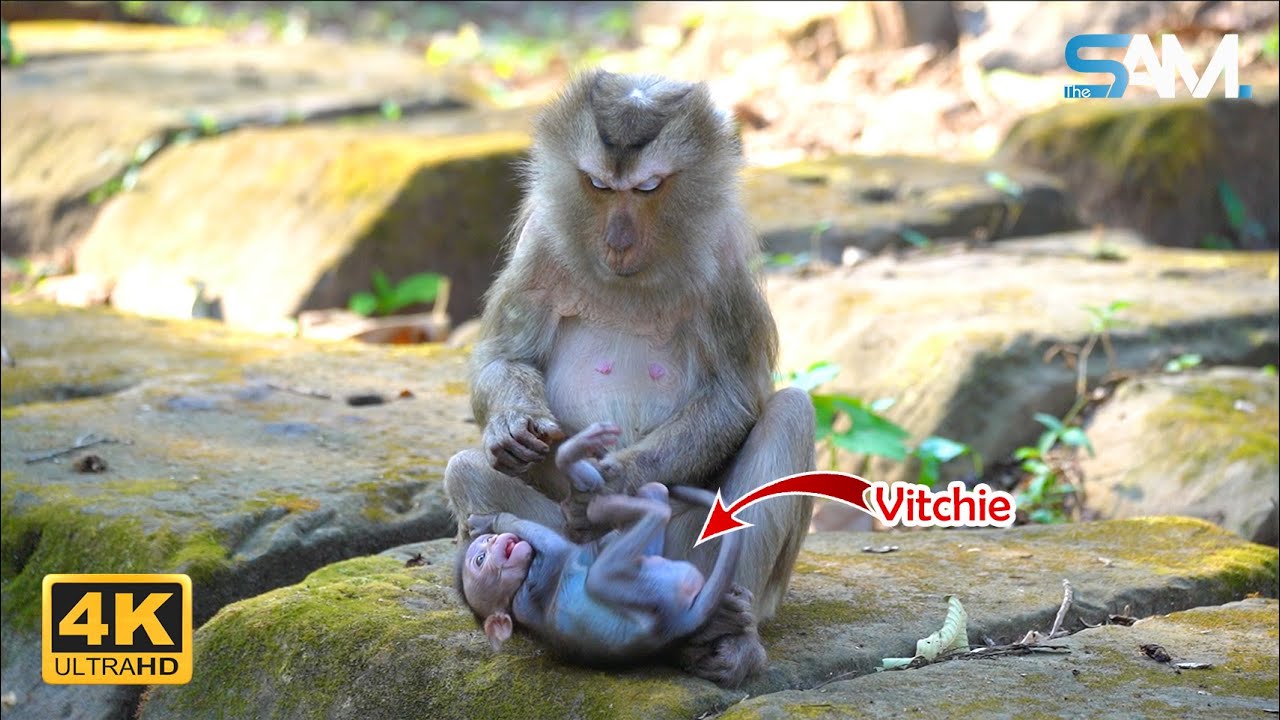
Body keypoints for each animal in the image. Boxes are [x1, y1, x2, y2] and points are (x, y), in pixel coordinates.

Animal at [456, 421, 766, 686]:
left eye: (484, 550)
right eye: (480, 561)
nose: (494, 543)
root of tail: (678, 623)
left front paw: (486, 522)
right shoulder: (542, 560)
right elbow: (554, 546)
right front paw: (499, 521)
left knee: (651, 494)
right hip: (652, 590)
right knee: (608, 565)